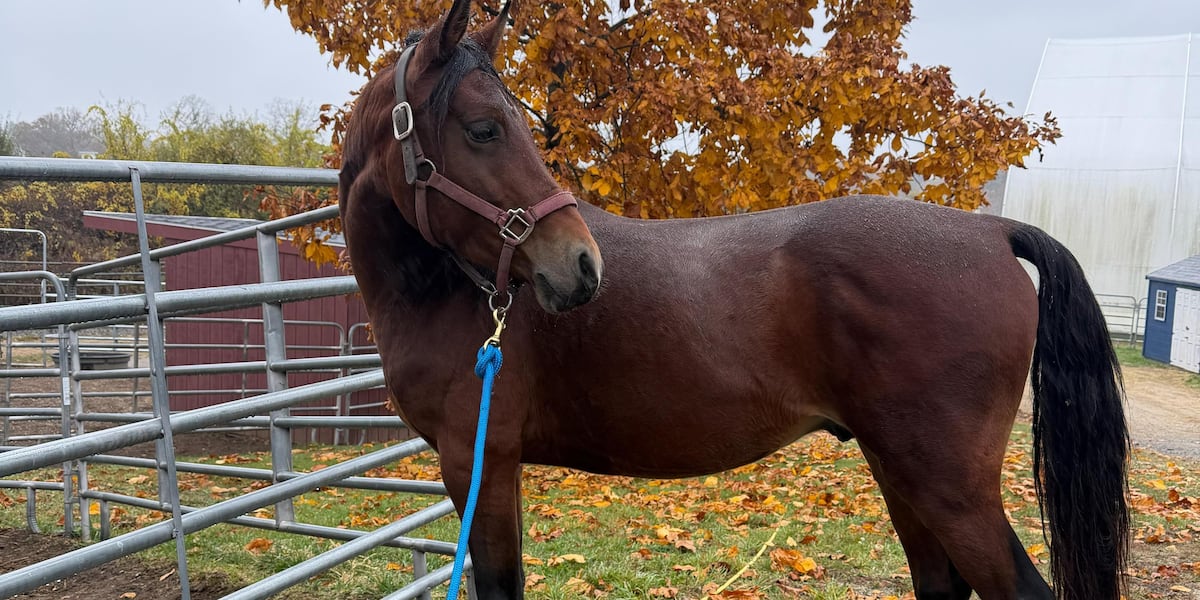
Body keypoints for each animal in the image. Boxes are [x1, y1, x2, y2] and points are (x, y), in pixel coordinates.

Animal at [336, 1, 1130, 598]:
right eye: (483, 128)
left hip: (947, 486)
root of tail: (992, 230)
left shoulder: (483, 464)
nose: (581, 267)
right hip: (900, 469)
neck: (448, 295)